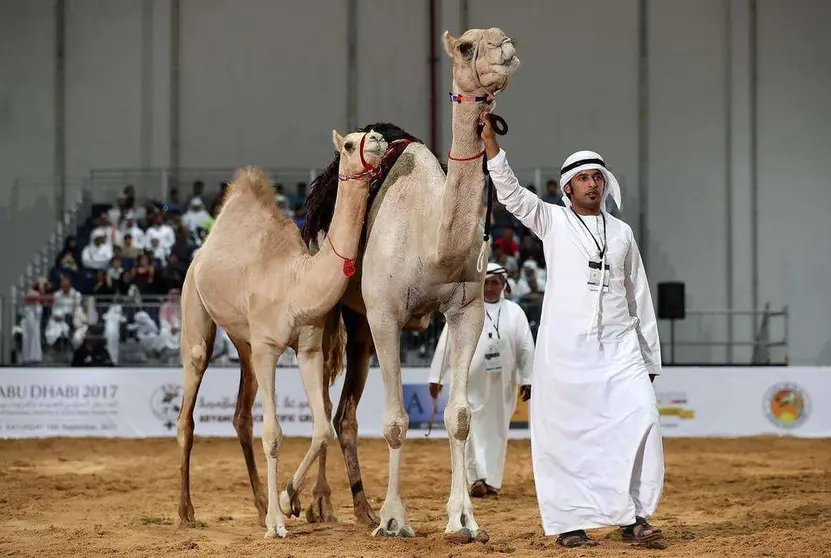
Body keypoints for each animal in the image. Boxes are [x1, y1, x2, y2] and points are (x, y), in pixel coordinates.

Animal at [176, 129, 390, 540]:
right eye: (349, 144)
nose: (377, 139)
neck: (296, 283)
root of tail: (201, 255)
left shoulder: (307, 348)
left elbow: (321, 427)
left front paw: (288, 500)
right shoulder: (268, 348)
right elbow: (273, 433)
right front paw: (277, 523)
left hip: (244, 343)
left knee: (241, 417)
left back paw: (261, 505)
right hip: (195, 307)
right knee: (188, 413)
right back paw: (186, 512)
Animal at [300, 26, 520, 544]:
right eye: (467, 46)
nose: (505, 45)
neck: (430, 239)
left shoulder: (466, 311)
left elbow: (459, 416)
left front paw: (464, 519)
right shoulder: (386, 316)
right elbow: (397, 421)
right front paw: (395, 519)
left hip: (360, 327)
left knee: (344, 414)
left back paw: (360, 509)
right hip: (335, 311)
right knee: (325, 402)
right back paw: (322, 505)